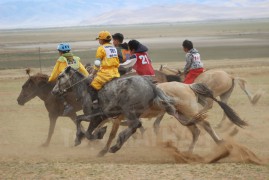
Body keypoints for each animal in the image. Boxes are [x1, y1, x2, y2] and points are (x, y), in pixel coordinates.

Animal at [51, 66, 246, 156]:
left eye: (60, 77)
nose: (53, 92)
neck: (88, 89)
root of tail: (190, 86)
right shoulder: (111, 117)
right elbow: (99, 130)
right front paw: (99, 145)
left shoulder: (100, 115)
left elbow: (84, 124)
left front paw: (88, 139)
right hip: (181, 114)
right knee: (197, 129)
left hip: (186, 111)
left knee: (204, 124)